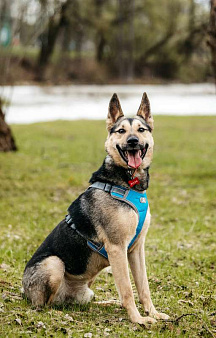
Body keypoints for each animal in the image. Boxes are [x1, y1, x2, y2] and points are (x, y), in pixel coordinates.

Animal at [22, 92, 170, 324]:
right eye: (121, 131)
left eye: (141, 129)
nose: (133, 142)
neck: (127, 182)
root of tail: (23, 291)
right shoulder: (117, 248)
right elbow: (127, 289)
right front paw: (138, 319)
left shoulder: (137, 249)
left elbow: (144, 287)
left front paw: (152, 313)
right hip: (54, 264)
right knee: (46, 304)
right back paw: (59, 311)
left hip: (86, 288)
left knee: (80, 301)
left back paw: (106, 303)